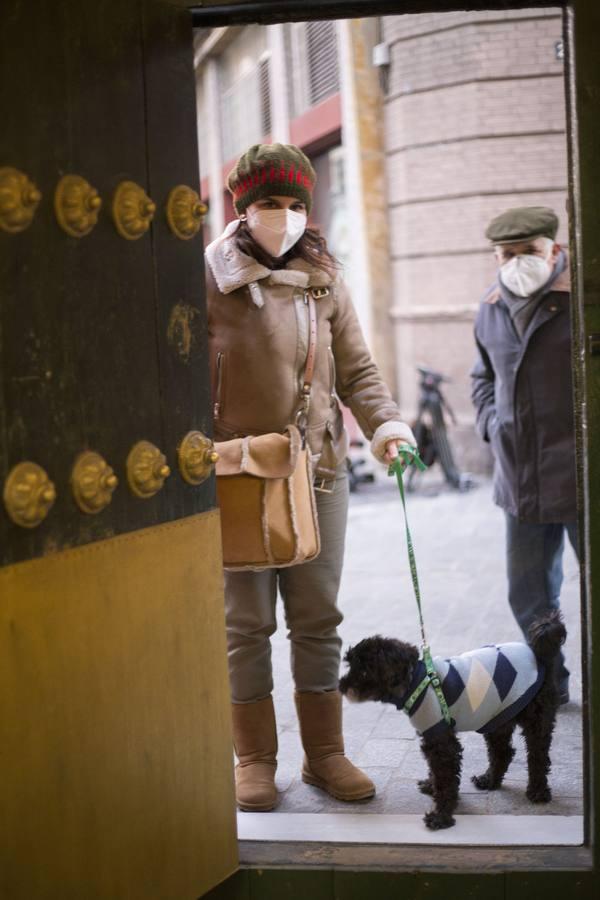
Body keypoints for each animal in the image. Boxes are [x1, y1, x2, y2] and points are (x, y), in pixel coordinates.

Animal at [340, 612, 564, 828]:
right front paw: (431, 786)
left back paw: (538, 792)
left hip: (535, 719)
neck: (417, 682)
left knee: (537, 756)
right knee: (503, 752)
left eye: (363, 671)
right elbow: (437, 773)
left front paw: (441, 817)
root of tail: (537, 653)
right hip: (497, 717)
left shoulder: (441, 740)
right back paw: (489, 780)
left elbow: (446, 780)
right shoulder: (433, 737)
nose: (341, 685)